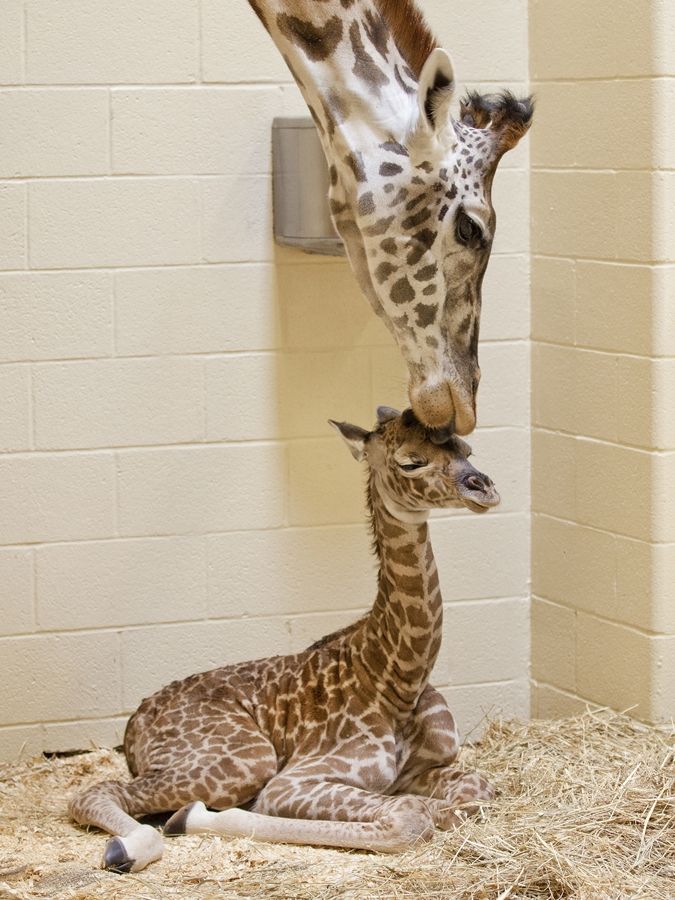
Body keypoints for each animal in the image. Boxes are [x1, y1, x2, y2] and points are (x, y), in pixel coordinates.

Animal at [68, 406, 500, 873]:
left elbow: (477, 793)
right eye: (410, 462)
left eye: (467, 449)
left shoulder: (425, 770)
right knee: (94, 791)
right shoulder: (294, 780)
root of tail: (135, 724)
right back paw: (137, 842)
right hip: (245, 758)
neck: (398, 680)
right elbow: (412, 815)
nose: (485, 488)